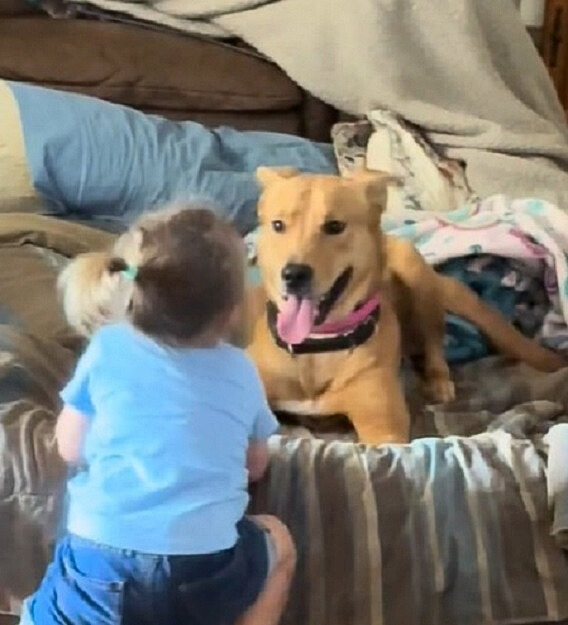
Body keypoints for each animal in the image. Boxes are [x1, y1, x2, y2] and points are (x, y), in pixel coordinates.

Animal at [248, 167, 564, 444]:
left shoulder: (382, 426)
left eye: (335, 226)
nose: (293, 274)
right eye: (278, 225)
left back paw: (437, 381)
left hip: (413, 267)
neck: (317, 346)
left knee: (434, 342)